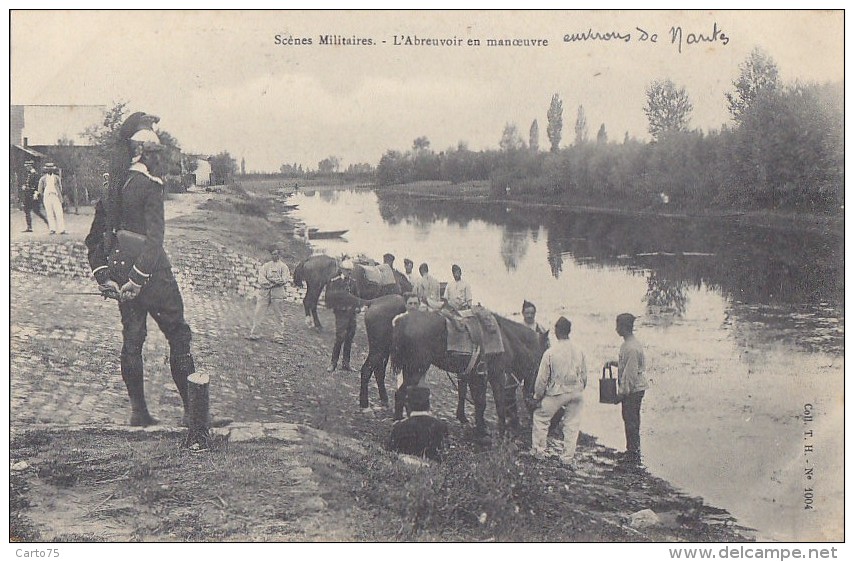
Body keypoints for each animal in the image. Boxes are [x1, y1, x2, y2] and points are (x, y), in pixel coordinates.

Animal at [392, 308, 548, 436]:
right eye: (544, 354)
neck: (506, 339)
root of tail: (402, 320)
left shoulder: (471, 374)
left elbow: (469, 396)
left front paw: (468, 420)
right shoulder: (493, 375)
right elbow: (492, 401)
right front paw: (491, 429)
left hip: (410, 369)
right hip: (416, 369)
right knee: (400, 393)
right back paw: (398, 420)